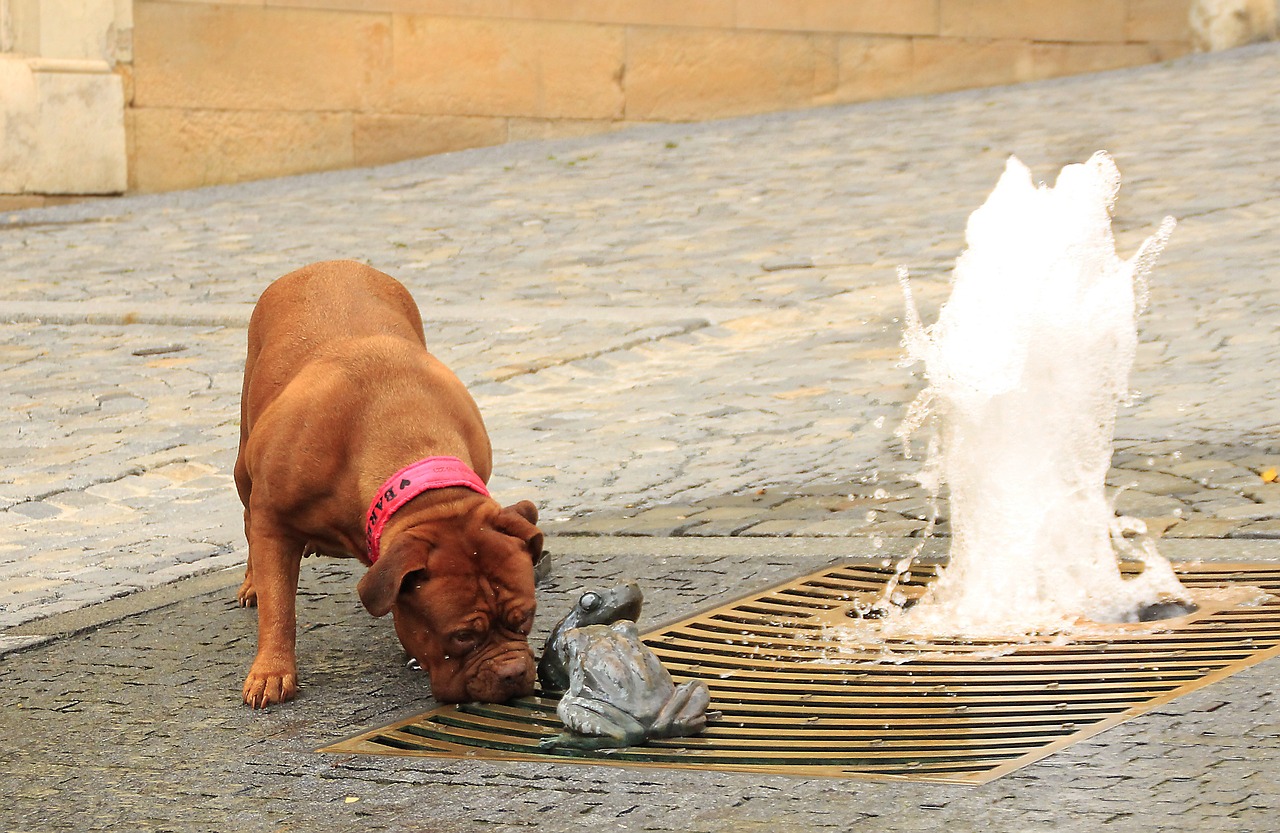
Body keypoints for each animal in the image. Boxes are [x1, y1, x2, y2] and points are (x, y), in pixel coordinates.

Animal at [232, 261, 542, 711]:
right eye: (462, 636)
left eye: (527, 619)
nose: (513, 673)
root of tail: (325, 264)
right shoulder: (274, 521)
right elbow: (279, 609)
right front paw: (271, 671)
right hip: (244, 460)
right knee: (247, 519)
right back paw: (253, 582)